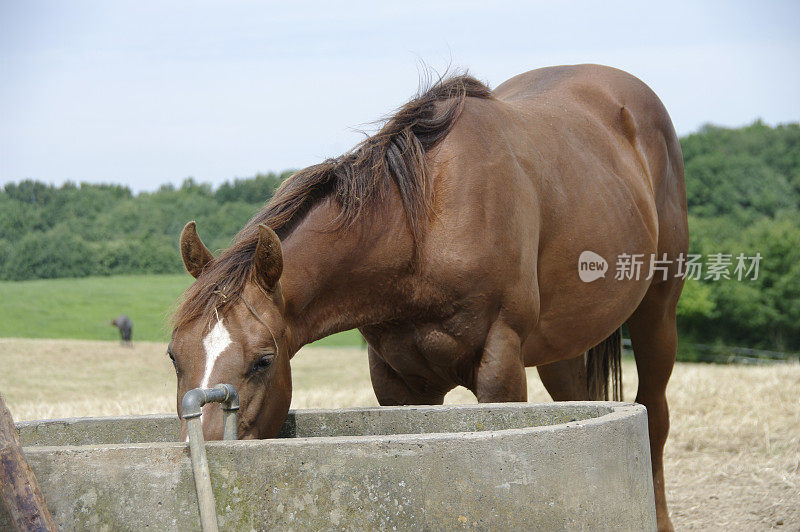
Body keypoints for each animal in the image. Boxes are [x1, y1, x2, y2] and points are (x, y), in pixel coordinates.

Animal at [169, 64, 688, 528]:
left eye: (263, 360)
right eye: (175, 356)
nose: (205, 449)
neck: (423, 229)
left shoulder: (500, 362)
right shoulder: (398, 380)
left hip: (657, 313)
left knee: (656, 417)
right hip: (560, 347)